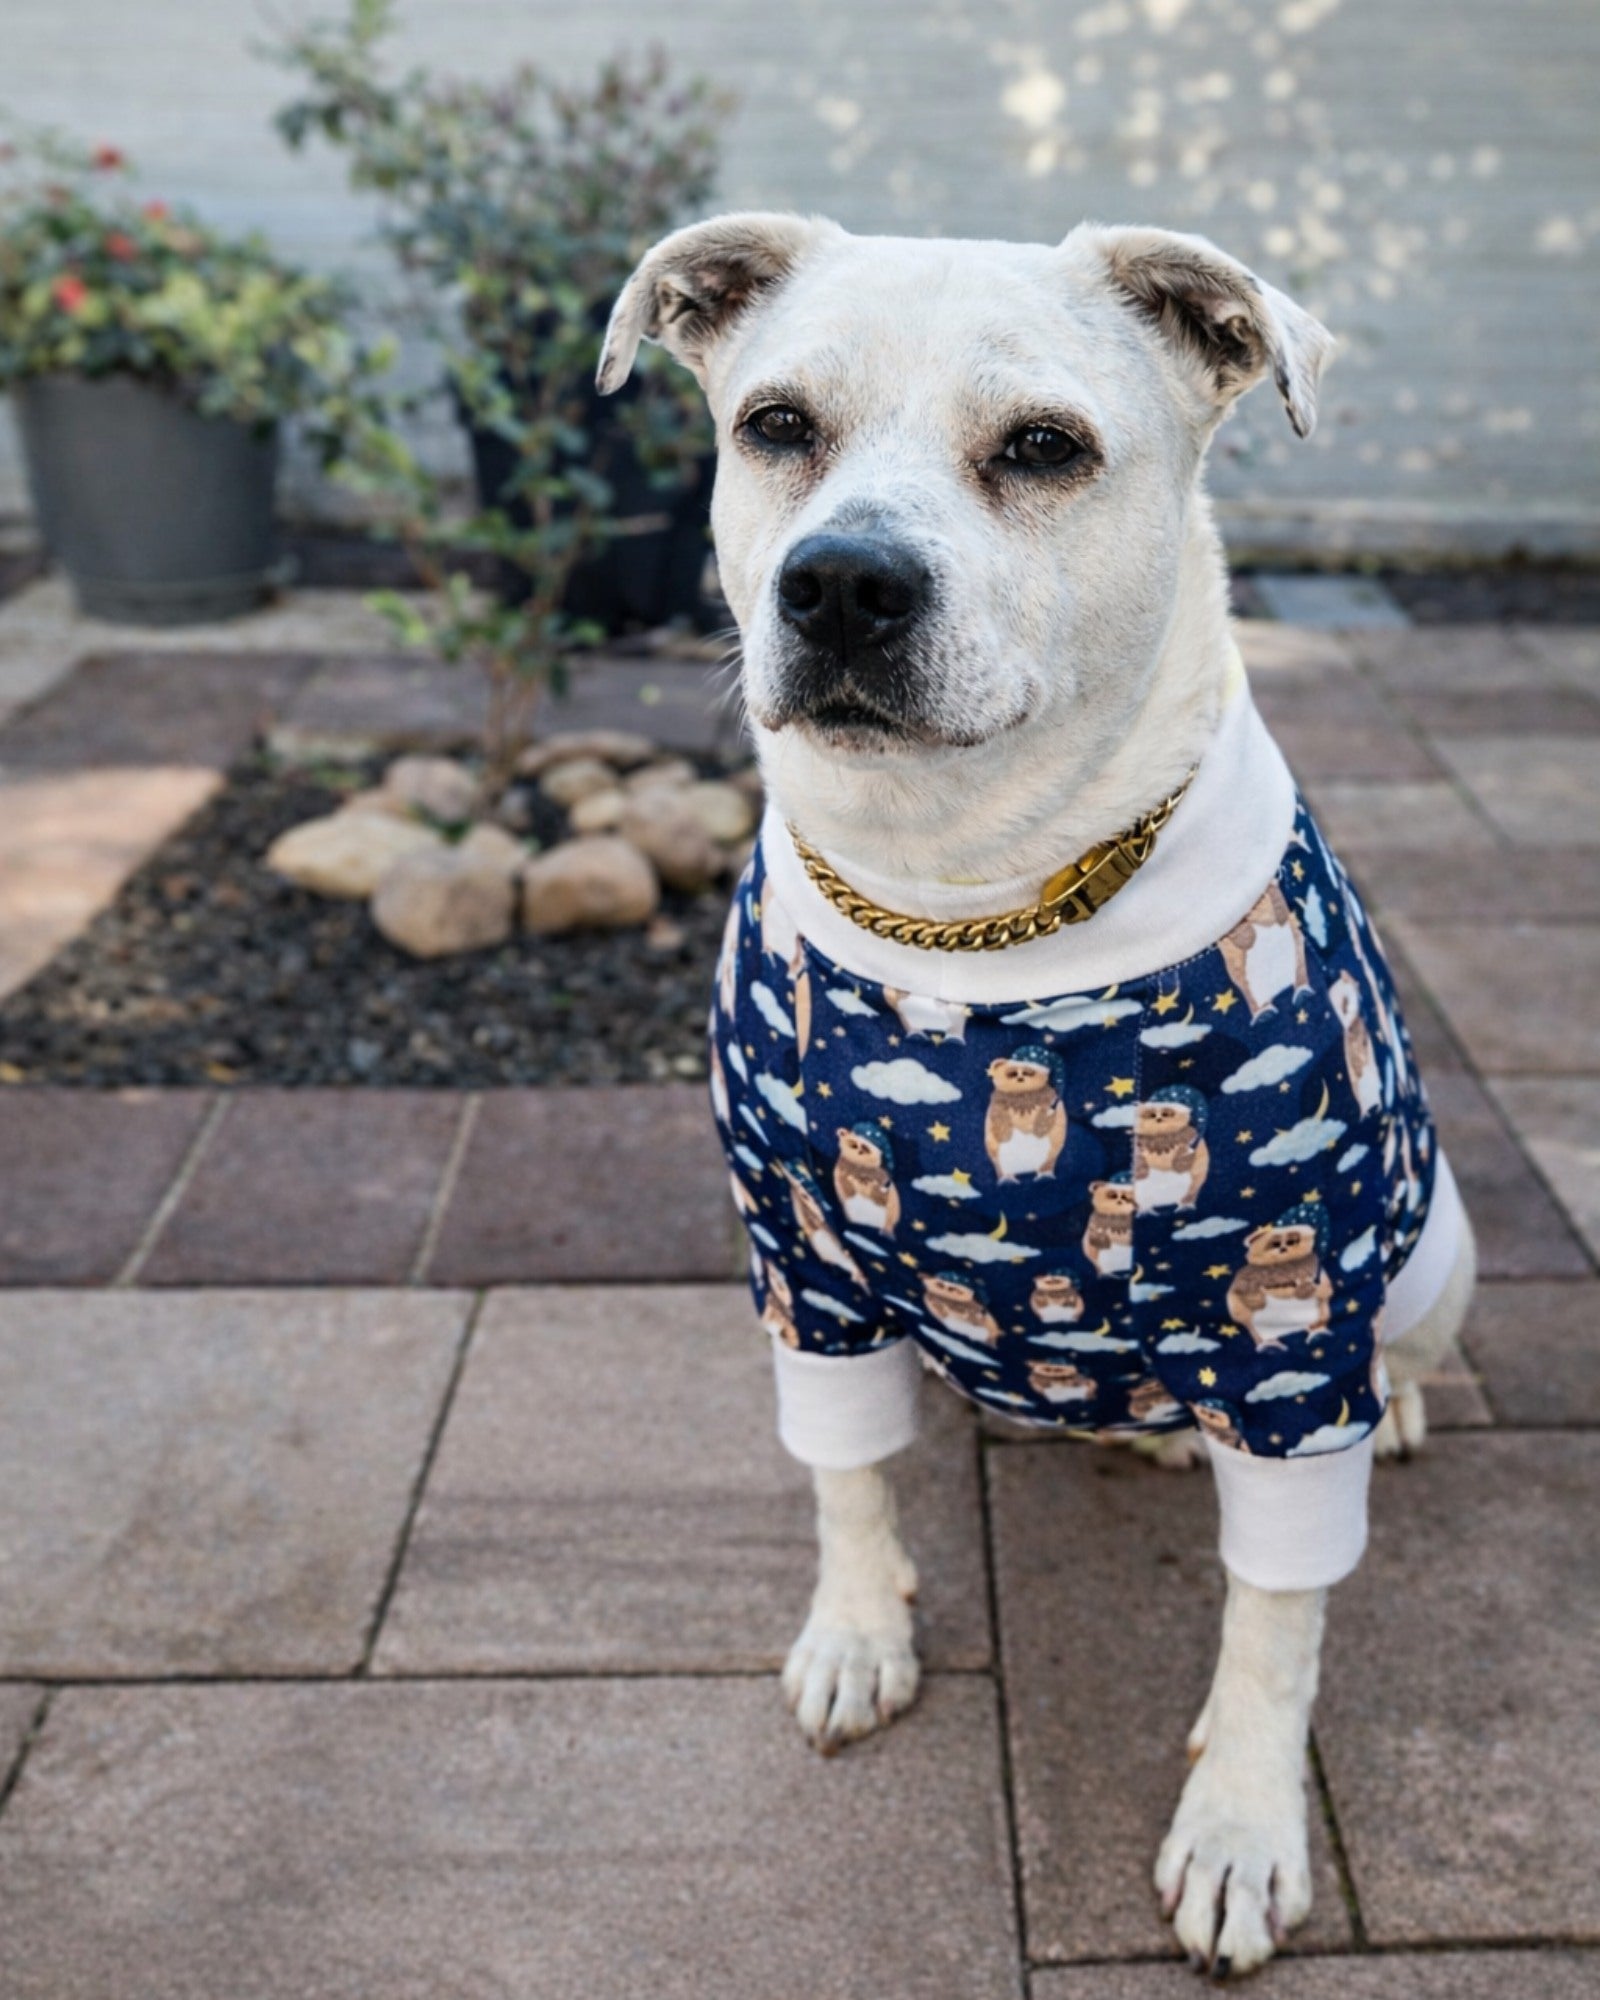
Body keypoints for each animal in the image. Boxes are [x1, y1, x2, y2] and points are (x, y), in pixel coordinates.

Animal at [985, 1042, 1068, 1182]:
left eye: (1029, 1072)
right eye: (1012, 1073)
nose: (1020, 1078)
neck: (1023, 1096)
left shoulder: (1049, 1101)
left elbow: (1045, 1116)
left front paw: (1039, 1129)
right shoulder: (997, 1105)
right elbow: (1000, 1119)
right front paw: (1005, 1134)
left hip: (1049, 1155)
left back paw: (1044, 1174)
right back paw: (1007, 1179)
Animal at [1132, 1082, 1211, 1212]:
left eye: (1167, 1113)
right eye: (1150, 1115)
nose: (1158, 1119)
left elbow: (1186, 1154)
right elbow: (1140, 1159)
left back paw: (1184, 1205)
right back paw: (1146, 1210)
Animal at [1226, 1203, 1334, 1348]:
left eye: (1291, 1241)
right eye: (1275, 1244)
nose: (1283, 1248)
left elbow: (1315, 1285)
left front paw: (1304, 1288)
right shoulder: (1244, 1278)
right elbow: (1242, 1291)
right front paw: (1256, 1299)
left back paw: (1317, 1332)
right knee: (1253, 1328)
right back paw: (1269, 1344)